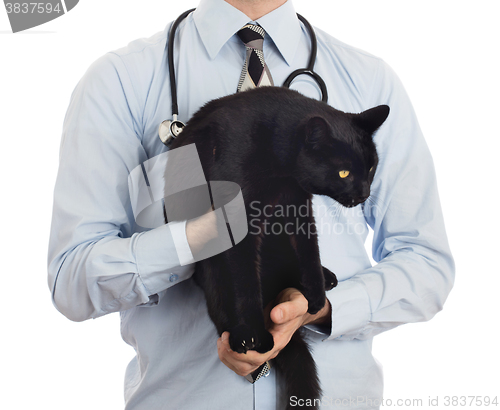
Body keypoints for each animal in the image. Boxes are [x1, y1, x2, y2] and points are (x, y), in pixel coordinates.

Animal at [162, 86, 388, 406]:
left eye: (370, 167)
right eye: (344, 173)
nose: (364, 194)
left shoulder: (299, 203)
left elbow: (309, 248)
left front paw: (316, 298)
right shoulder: (238, 217)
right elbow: (245, 281)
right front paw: (255, 335)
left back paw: (326, 277)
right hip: (213, 267)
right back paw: (241, 336)